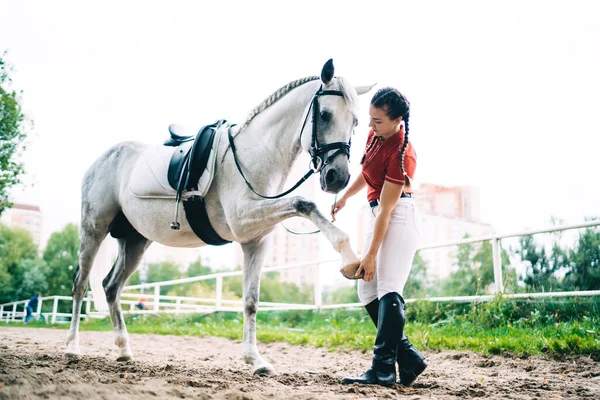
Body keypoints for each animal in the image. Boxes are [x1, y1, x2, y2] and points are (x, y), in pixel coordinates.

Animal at [68, 59, 372, 376]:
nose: (338, 177)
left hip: (135, 241)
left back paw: (124, 351)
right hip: (93, 230)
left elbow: (251, 301)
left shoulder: (255, 241)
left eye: (355, 122)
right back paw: (72, 348)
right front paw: (349, 257)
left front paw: (255, 360)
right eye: (324, 115)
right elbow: (305, 203)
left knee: (110, 287)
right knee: (80, 284)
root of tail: (102, 159)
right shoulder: (243, 219)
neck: (254, 155)